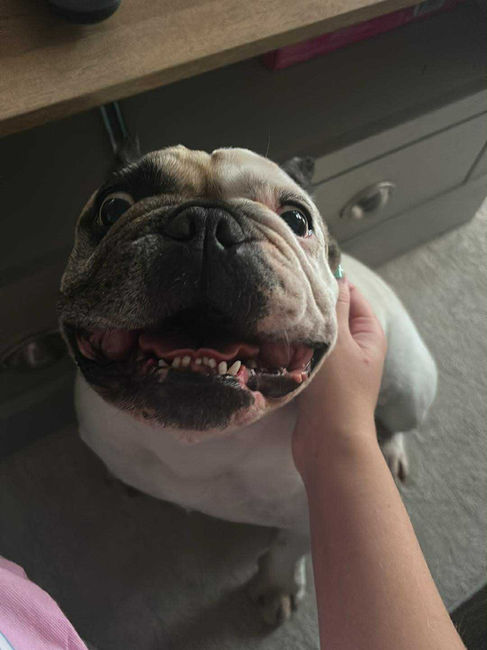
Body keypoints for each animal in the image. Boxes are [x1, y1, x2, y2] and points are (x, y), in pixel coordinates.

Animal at [59, 145, 437, 625]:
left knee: (399, 419)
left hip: (409, 387)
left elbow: (287, 550)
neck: (198, 443)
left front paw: (276, 587)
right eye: (112, 208)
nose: (205, 222)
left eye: (297, 219)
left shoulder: (309, 510)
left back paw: (388, 450)